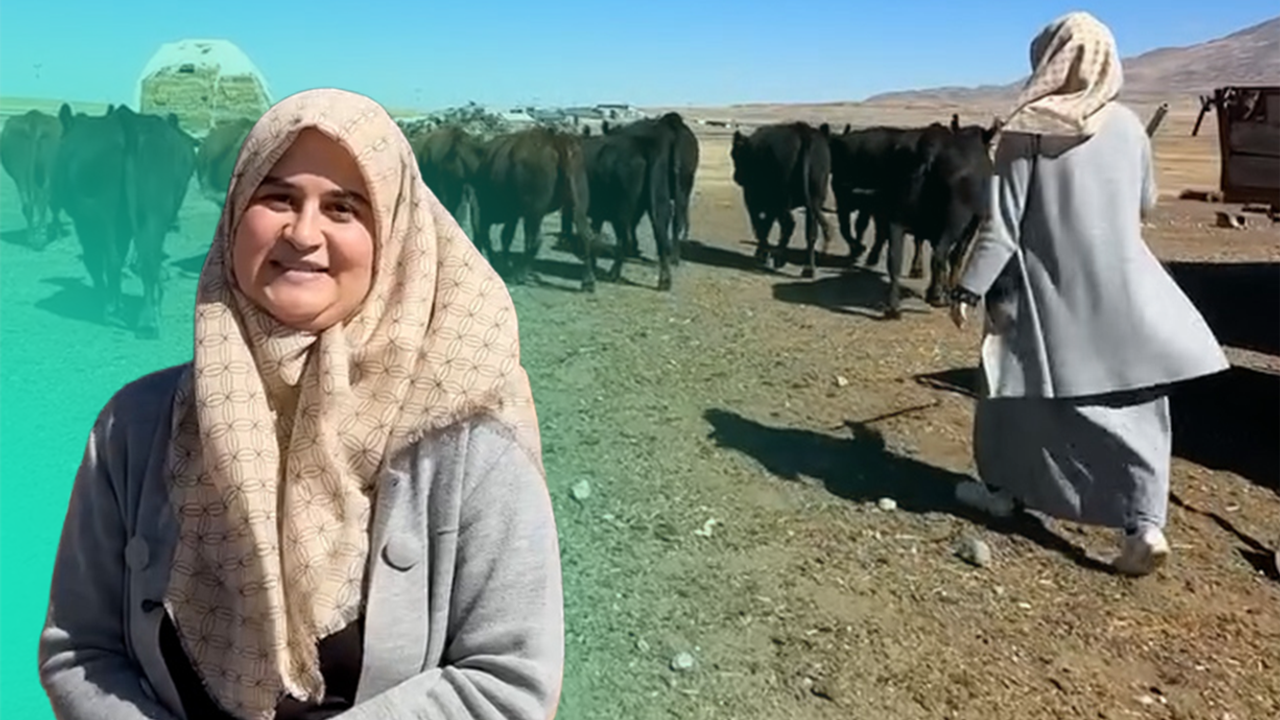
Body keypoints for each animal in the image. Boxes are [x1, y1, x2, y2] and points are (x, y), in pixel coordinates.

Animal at [0, 109, 65, 249]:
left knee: (29, 203)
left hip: (19, 170)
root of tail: (34, 118)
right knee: (43, 201)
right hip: (48, 171)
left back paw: (31, 239)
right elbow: (54, 204)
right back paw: (42, 239)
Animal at [51, 103, 197, 339]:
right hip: (153, 209)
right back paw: (148, 319)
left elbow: (95, 258)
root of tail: (128, 121)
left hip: (99, 211)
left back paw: (111, 309)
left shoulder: (84, 221)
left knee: (107, 258)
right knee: (148, 258)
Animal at [470, 126, 599, 291]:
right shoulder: (517, 214)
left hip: (536, 211)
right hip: (577, 203)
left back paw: (520, 275)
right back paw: (588, 281)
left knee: (537, 240)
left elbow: (498, 236)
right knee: (586, 235)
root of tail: (555, 140)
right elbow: (507, 236)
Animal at [729, 121, 836, 278]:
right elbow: (766, 225)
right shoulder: (771, 207)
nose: (736, 177)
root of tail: (803, 132)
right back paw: (808, 269)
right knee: (811, 232)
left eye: (735, 155)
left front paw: (762, 254)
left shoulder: (752, 200)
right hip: (814, 201)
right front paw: (762, 253)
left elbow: (759, 225)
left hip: (782, 201)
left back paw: (779, 259)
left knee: (789, 224)